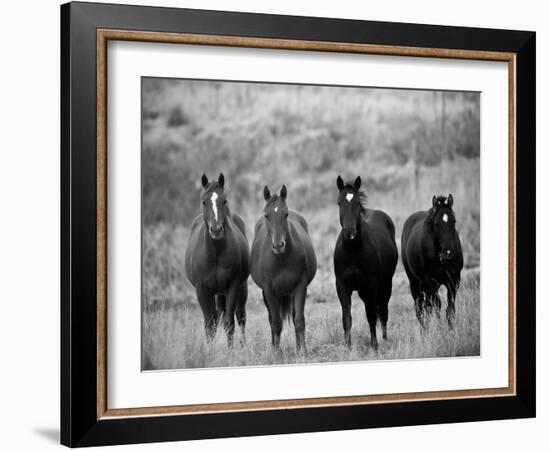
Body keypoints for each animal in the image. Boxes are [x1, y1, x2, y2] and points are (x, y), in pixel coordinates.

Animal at [185, 174, 250, 346]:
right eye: (204, 201)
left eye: (224, 200)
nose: (216, 230)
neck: (215, 254)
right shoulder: (201, 290)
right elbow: (210, 324)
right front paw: (210, 350)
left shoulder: (232, 286)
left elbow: (229, 323)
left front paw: (230, 351)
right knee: (215, 318)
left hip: (241, 289)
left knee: (241, 317)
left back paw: (244, 346)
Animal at [251, 185, 316, 354]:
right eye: (266, 215)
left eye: (285, 214)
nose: (278, 245)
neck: (281, 260)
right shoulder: (269, 290)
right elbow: (276, 323)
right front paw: (276, 353)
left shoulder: (300, 286)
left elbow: (299, 320)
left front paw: (302, 351)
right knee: (271, 319)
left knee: (293, 317)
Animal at [334, 176, 398, 352]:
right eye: (339, 202)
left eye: (357, 203)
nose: (349, 232)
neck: (352, 253)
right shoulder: (342, 286)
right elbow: (346, 318)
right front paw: (347, 347)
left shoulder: (371, 286)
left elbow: (371, 316)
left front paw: (374, 346)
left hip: (385, 284)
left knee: (383, 311)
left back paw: (384, 339)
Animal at [402, 192, 466, 326]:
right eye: (436, 224)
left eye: (454, 221)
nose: (448, 252)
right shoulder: (430, 282)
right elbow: (435, 306)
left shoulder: (454, 280)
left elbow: (450, 310)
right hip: (414, 282)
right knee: (420, 309)